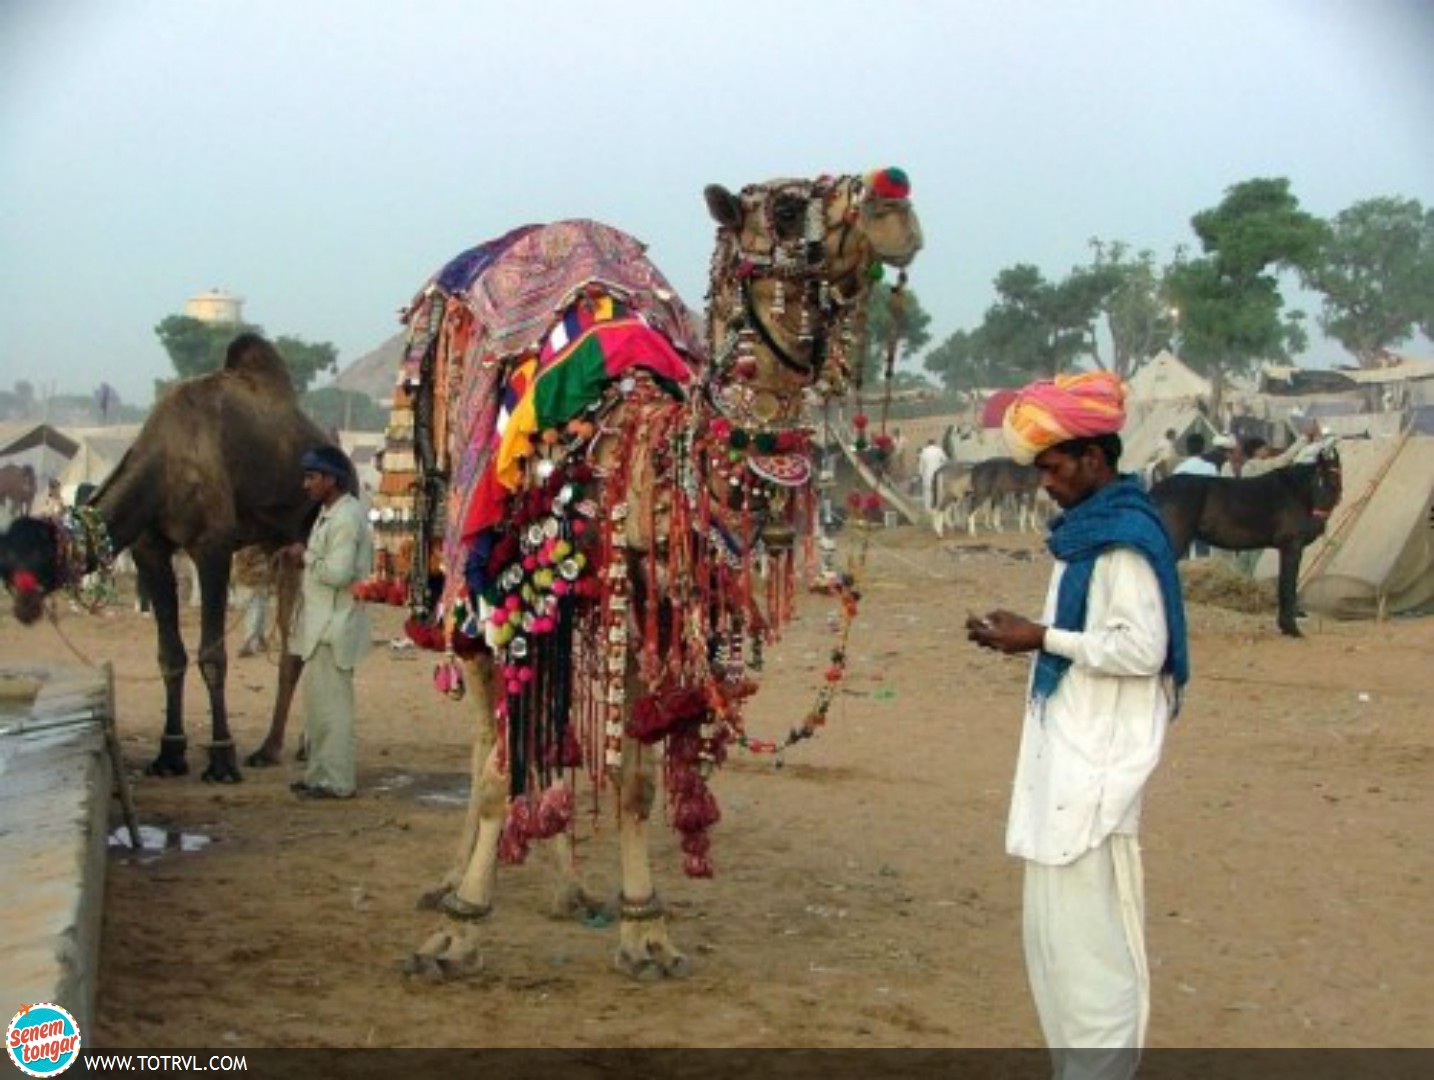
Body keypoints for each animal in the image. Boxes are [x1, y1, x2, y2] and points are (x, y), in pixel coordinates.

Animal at [0, 332, 332, 780]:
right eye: (5, 560)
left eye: (41, 554)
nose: (25, 605)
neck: (166, 465)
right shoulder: (149, 550)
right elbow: (169, 655)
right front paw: (169, 754)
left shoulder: (213, 546)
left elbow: (212, 654)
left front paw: (222, 759)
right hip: (278, 545)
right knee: (294, 641)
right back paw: (275, 747)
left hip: (313, 531)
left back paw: (290, 747)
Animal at [369, 170, 923, 975]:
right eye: (788, 208)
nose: (895, 198)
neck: (630, 454)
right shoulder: (509, 606)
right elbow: (497, 770)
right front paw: (457, 929)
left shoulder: (641, 609)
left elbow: (632, 783)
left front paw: (646, 929)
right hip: (455, 581)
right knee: (485, 738)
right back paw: (451, 881)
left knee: (553, 741)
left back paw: (570, 889)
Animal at [1147, 441, 1336, 636]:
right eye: (1317, 481)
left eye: (1333, 480)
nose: (1319, 521)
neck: (1294, 492)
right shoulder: (1292, 546)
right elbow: (1288, 584)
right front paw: (1291, 627)